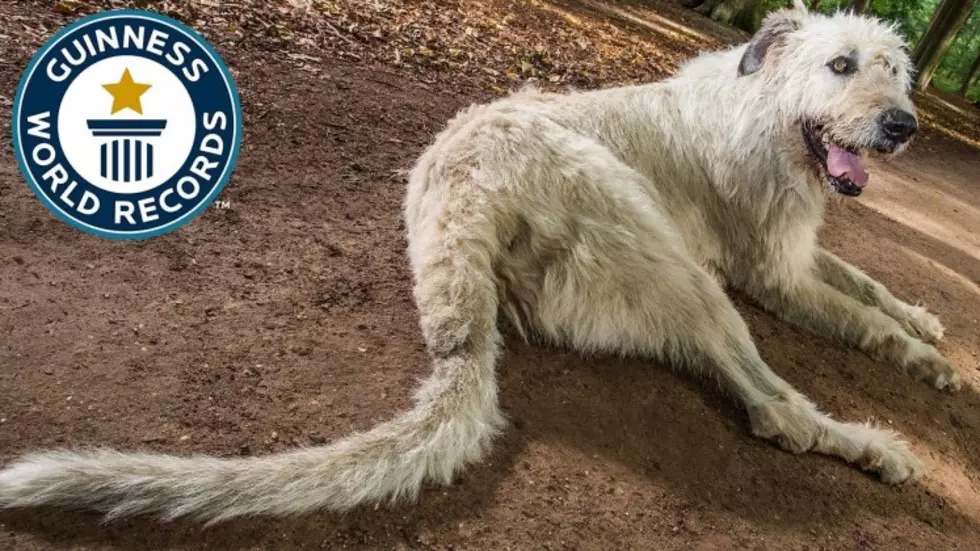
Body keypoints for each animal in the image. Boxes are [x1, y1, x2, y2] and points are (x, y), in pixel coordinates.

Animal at [0, 2, 960, 524]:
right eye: (840, 65)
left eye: (896, 71)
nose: (903, 126)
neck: (766, 110)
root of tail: (458, 215)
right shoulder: (771, 272)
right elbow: (856, 314)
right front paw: (920, 355)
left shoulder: (798, 248)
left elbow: (869, 285)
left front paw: (926, 331)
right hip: (667, 255)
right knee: (776, 411)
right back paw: (874, 444)